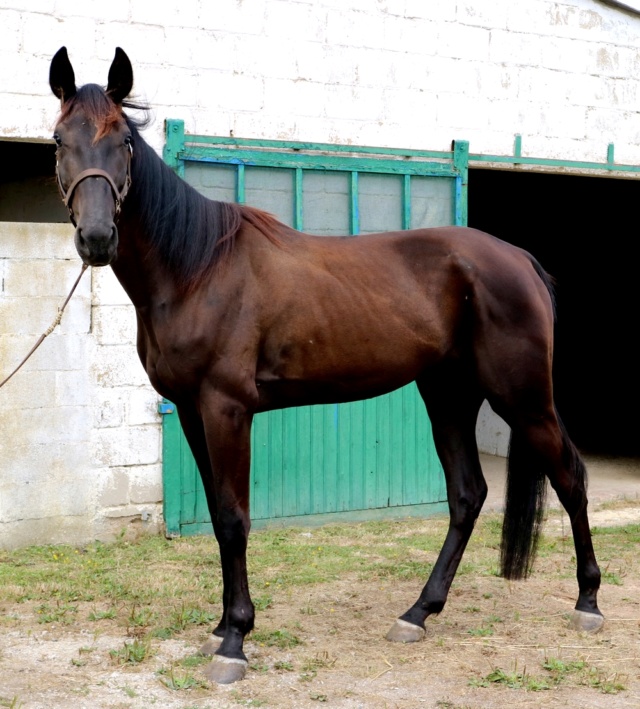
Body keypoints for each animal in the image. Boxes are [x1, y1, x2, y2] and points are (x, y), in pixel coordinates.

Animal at [47, 47, 604, 684]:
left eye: (123, 141)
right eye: (60, 140)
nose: (96, 238)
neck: (197, 269)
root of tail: (520, 261)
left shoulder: (226, 408)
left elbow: (234, 519)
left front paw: (235, 640)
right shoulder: (190, 410)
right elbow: (217, 514)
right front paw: (221, 625)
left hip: (524, 398)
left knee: (570, 477)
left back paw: (588, 603)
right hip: (448, 396)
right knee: (468, 495)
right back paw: (417, 613)